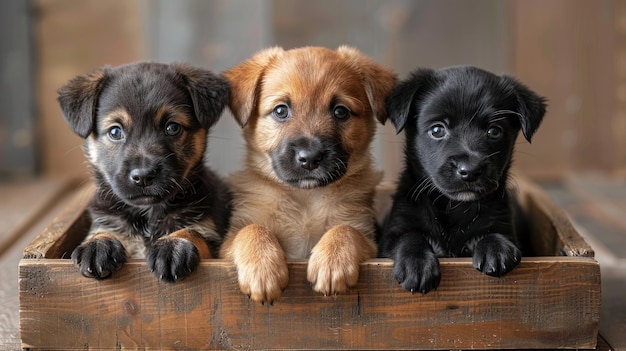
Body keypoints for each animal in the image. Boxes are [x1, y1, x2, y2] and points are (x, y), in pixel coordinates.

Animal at [56, 62, 229, 284]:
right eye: (115, 132)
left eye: (172, 128)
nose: (143, 176)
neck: (148, 214)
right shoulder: (108, 220)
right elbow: (102, 231)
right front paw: (98, 244)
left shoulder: (210, 237)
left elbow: (191, 231)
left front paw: (173, 245)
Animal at [219, 46, 394, 306]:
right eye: (281, 110)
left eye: (340, 112)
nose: (310, 158)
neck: (306, 200)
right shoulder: (229, 241)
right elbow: (251, 230)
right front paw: (262, 269)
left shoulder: (366, 236)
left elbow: (345, 229)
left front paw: (333, 260)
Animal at [378, 65, 544, 294]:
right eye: (437, 130)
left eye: (494, 131)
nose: (470, 171)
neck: (454, 208)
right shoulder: (393, 233)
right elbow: (409, 237)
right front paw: (416, 263)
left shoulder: (504, 223)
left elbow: (497, 233)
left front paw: (496, 248)